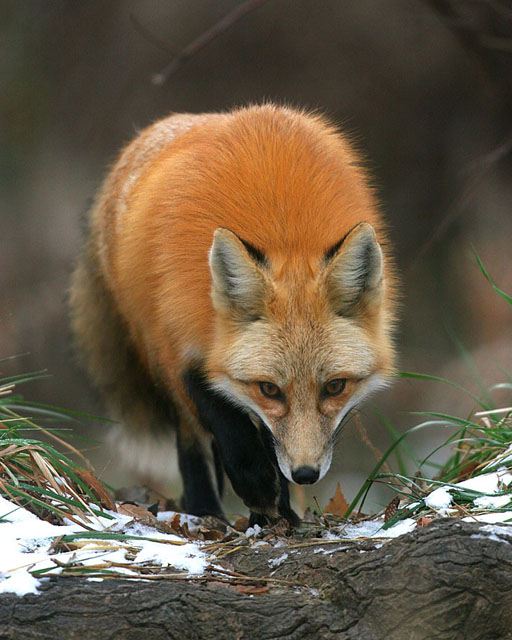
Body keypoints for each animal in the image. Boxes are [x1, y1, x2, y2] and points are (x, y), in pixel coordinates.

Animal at [70, 103, 396, 526]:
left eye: (335, 387)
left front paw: (277, 509)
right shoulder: (178, 344)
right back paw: (205, 509)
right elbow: (223, 422)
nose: (305, 474)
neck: (283, 231)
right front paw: (255, 485)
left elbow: (267, 442)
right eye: (270, 389)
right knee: (192, 438)